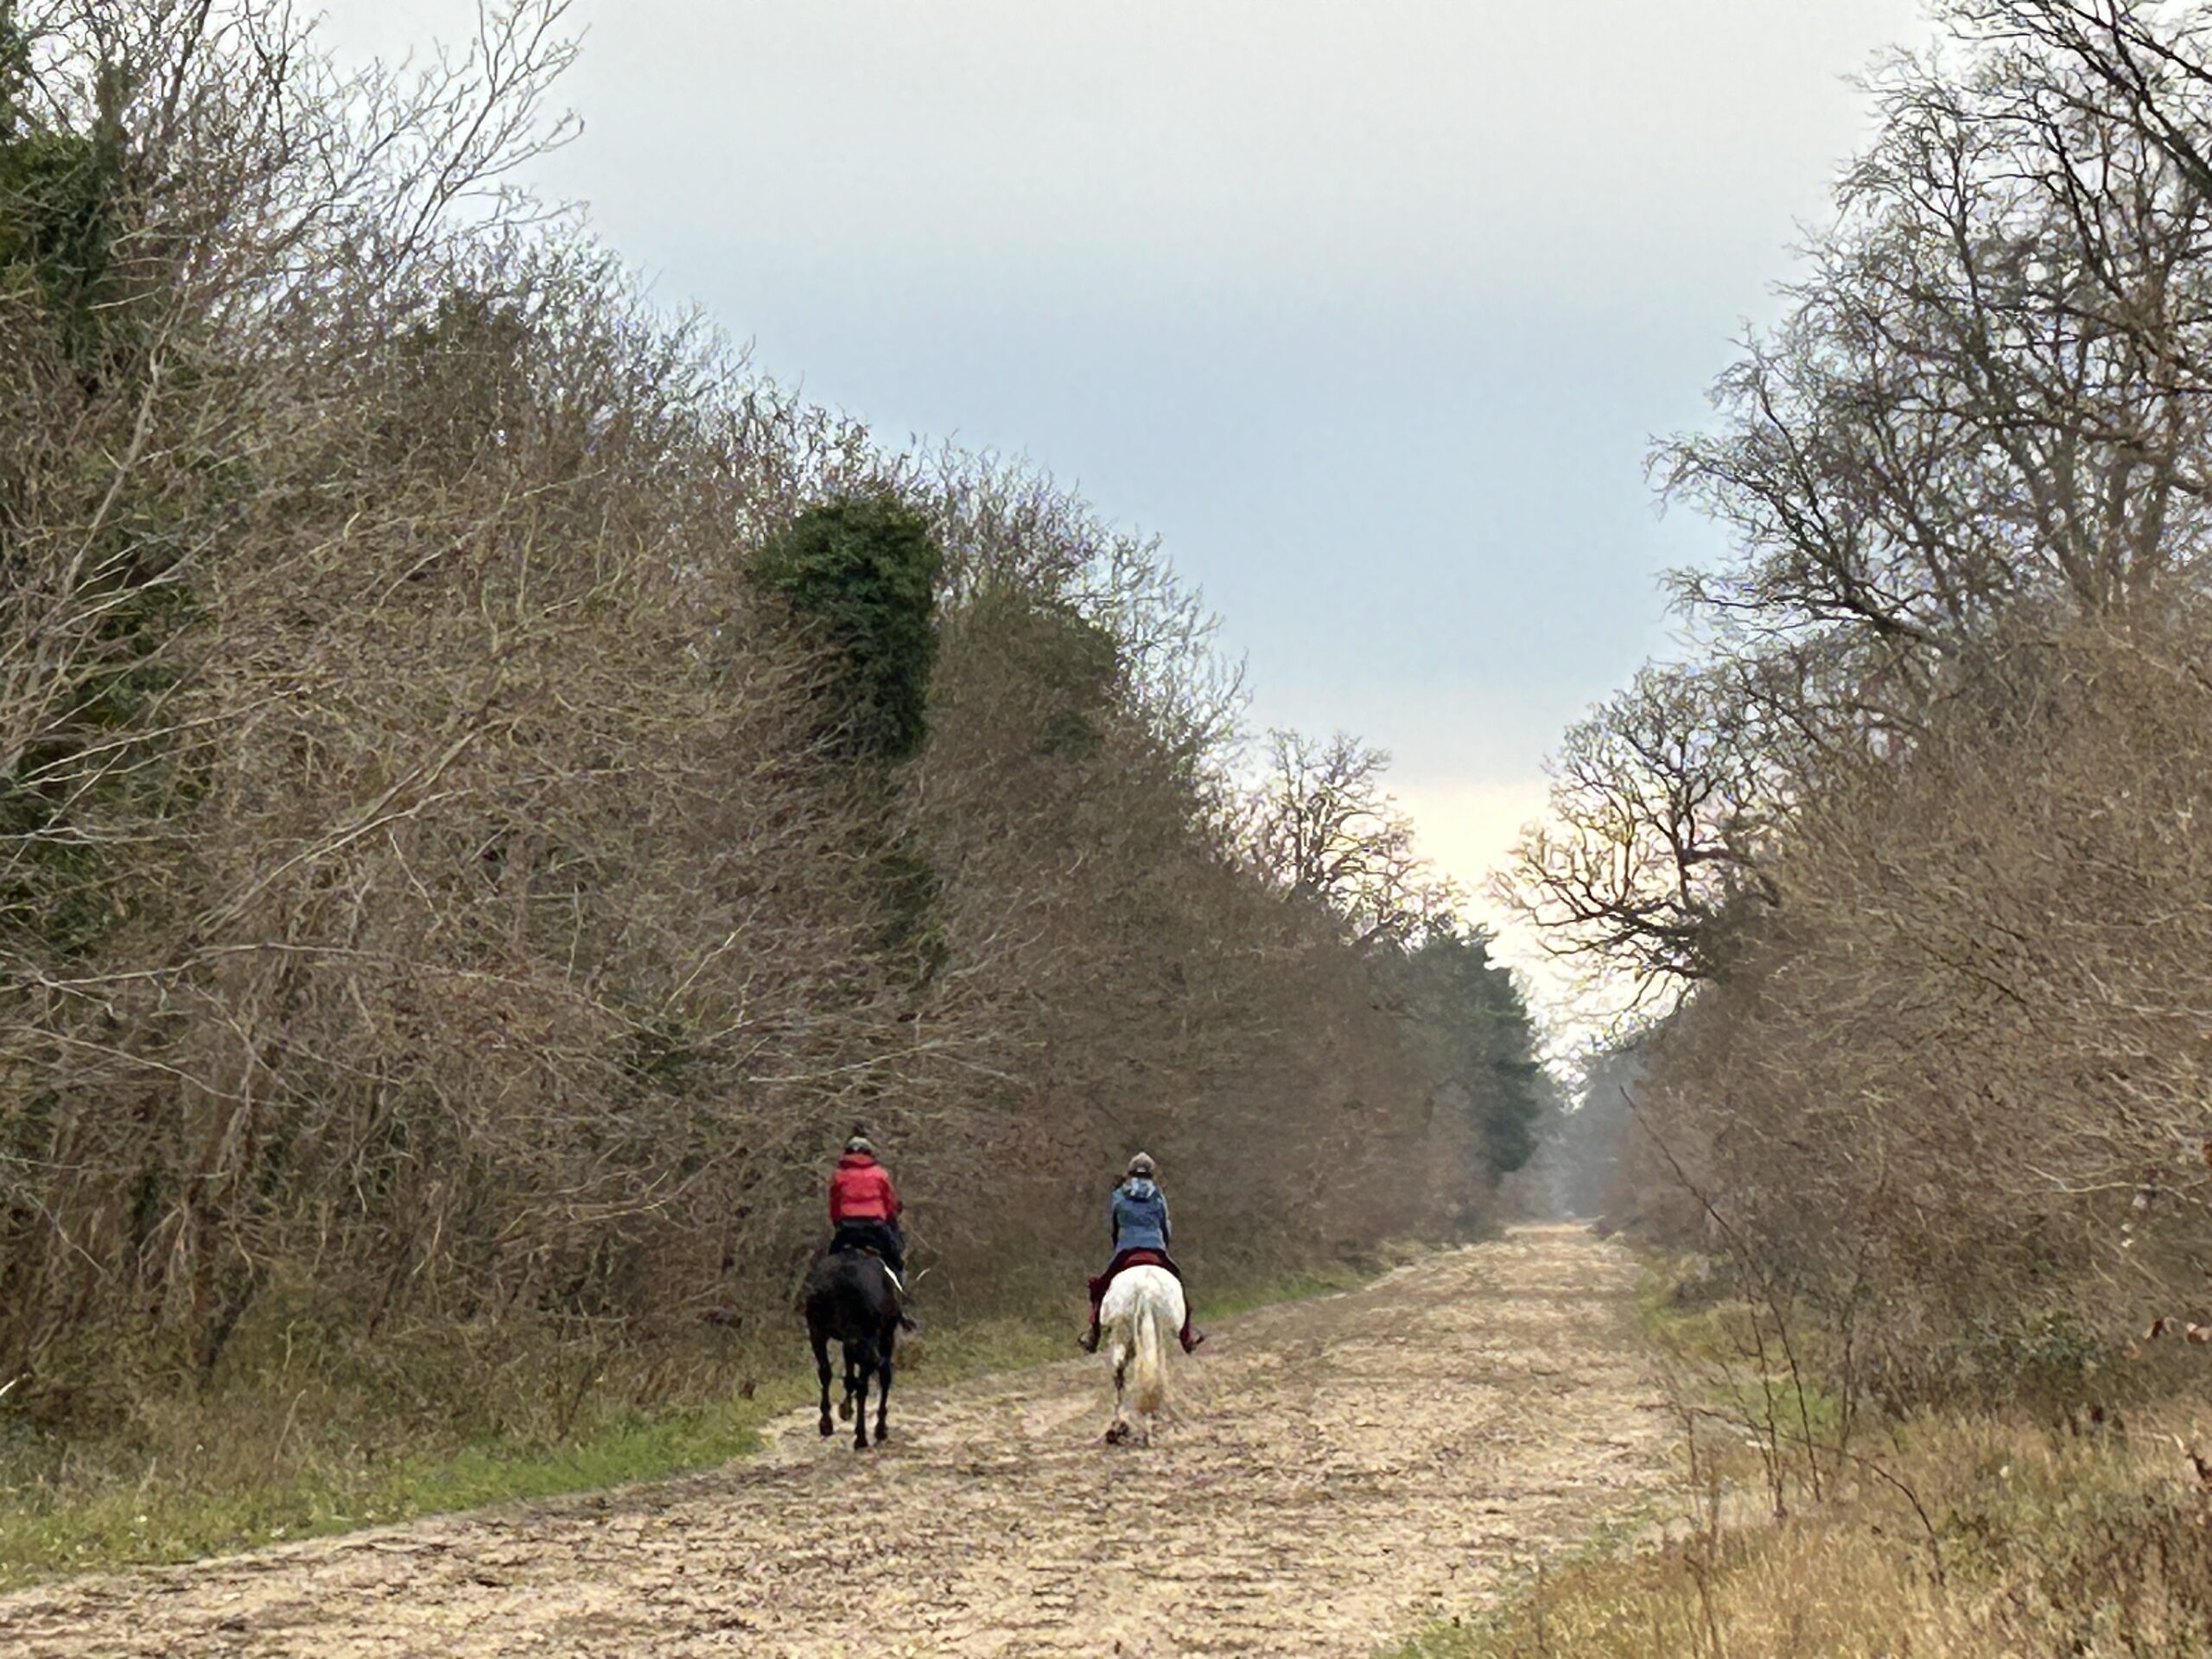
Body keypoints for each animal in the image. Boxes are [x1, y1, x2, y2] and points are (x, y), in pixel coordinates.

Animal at [1096, 1265, 1185, 1451]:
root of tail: (1146, 1289)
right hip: (1163, 1334)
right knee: (1157, 1374)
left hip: (1123, 1333)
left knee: (1120, 1375)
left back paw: (1120, 1428)